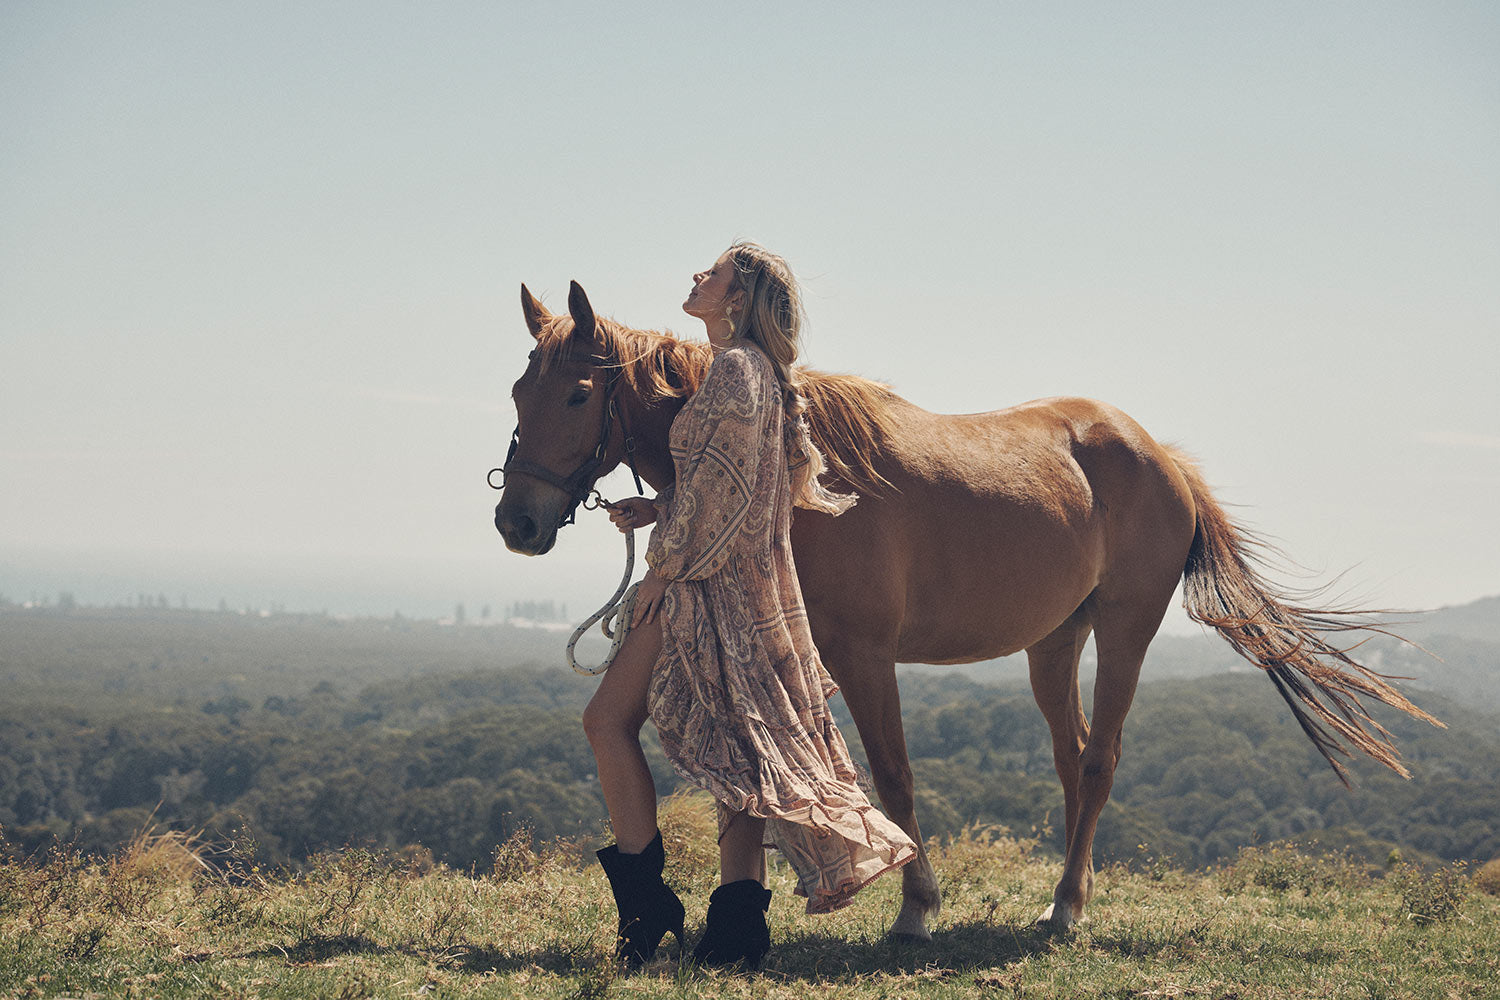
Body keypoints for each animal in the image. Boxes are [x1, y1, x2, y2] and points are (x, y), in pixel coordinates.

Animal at [498, 281, 1446, 941]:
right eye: (517, 392)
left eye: (577, 395)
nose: (518, 522)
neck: (805, 478)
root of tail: (1161, 455)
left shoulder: (864, 656)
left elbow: (894, 777)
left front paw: (916, 910)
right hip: (1054, 642)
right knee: (1071, 763)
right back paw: (1069, 894)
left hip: (1125, 630)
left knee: (1099, 761)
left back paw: (1065, 909)